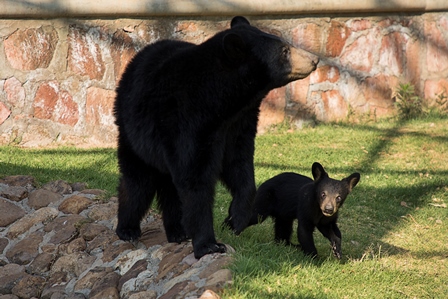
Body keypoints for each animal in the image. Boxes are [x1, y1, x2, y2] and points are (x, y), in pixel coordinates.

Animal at [114, 17, 318, 260]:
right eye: (285, 50)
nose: (315, 59)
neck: (221, 100)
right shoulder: (189, 121)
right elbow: (196, 179)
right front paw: (209, 244)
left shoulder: (240, 122)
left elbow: (238, 165)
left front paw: (235, 219)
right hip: (131, 126)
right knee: (137, 179)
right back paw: (128, 228)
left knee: (168, 185)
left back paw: (178, 231)